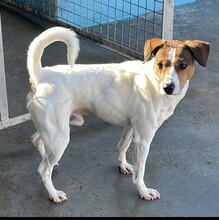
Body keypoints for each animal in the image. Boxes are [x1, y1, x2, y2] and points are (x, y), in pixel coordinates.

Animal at [26, 26, 210, 204]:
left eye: (183, 65)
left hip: (55, 128)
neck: (153, 80)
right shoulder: (143, 140)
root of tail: (42, 75)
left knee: (36, 141)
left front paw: (123, 166)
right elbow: (140, 171)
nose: (168, 87)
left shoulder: (131, 128)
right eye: (160, 64)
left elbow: (121, 147)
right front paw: (143, 191)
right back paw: (54, 194)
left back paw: (51, 162)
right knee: (43, 169)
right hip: (60, 136)